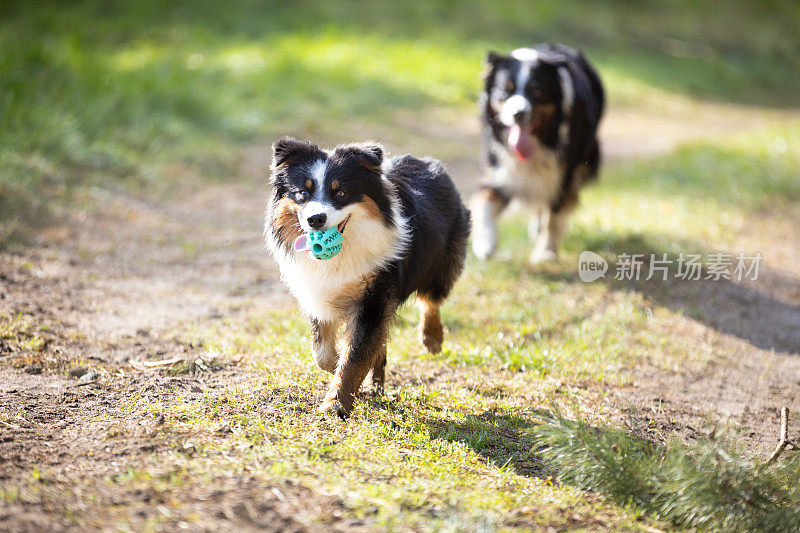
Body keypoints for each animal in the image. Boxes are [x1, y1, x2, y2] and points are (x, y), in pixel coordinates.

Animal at [266, 136, 472, 416]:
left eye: (340, 193)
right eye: (302, 193)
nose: (315, 219)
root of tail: (427, 162)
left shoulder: (375, 293)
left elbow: (355, 354)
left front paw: (336, 403)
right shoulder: (316, 291)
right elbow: (324, 353)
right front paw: (340, 370)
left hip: (443, 258)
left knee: (431, 299)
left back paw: (432, 339)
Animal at [472, 43, 604, 262]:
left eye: (536, 91)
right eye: (506, 90)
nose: (518, 114)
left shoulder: (562, 176)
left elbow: (554, 218)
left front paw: (545, 253)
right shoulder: (499, 171)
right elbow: (483, 202)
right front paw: (485, 244)